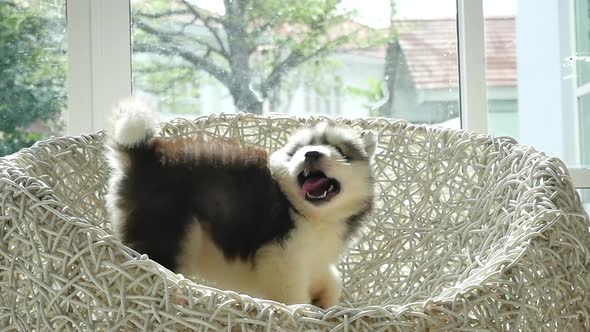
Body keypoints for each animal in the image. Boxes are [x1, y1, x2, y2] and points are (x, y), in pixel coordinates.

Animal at [106, 99, 376, 308]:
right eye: (298, 151)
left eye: (339, 150)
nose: (311, 153)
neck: (310, 214)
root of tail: (147, 156)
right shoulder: (282, 258)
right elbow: (293, 297)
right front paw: (302, 312)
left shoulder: (314, 258)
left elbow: (331, 279)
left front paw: (324, 299)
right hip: (168, 233)